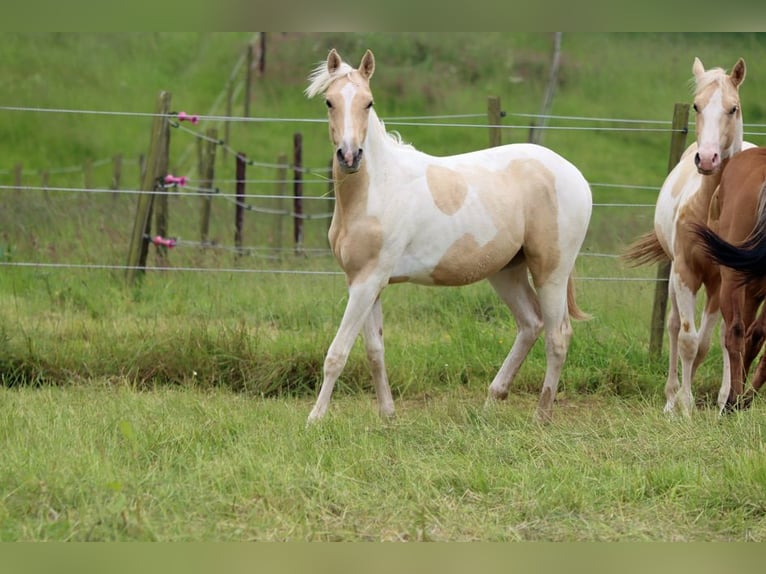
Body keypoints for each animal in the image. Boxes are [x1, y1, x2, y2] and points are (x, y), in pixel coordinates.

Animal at [306, 49, 592, 426]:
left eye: (368, 102)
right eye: (329, 102)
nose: (350, 156)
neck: (377, 189)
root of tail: (577, 177)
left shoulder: (368, 282)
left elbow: (337, 353)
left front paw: (314, 419)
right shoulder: (362, 282)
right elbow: (374, 351)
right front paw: (388, 416)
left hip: (551, 272)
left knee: (558, 336)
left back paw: (540, 417)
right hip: (507, 271)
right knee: (531, 324)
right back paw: (491, 403)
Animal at [624, 57, 756, 418]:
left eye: (733, 108)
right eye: (697, 106)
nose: (707, 159)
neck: (708, 209)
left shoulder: (721, 281)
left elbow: (711, 341)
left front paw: (719, 399)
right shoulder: (685, 273)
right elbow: (686, 339)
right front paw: (682, 404)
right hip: (675, 275)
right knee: (673, 327)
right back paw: (672, 396)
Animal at [700, 148, 766, 410]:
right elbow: (755, 335)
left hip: (731, 279)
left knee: (736, 332)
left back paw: (733, 401)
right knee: (755, 333)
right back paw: (745, 398)